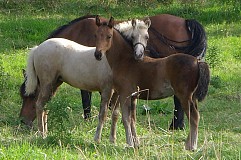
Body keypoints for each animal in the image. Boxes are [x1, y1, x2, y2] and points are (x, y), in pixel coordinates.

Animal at [19, 14, 207, 131]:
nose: (22, 121)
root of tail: (185, 21)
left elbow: (86, 100)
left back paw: (176, 125)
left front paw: (89, 120)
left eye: (31, 96)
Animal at [93, 16, 210, 151]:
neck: (125, 60)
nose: (98, 54)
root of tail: (197, 61)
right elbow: (132, 119)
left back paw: (192, 146)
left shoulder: (124, 94)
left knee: (194, 117)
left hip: (185, 96)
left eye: (109, 36)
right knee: (195, 116)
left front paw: (129, 143)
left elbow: (126, 119)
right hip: (192, 97)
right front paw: (136, 143)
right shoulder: (133, 96)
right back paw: (188, 144)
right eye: (96, 35)